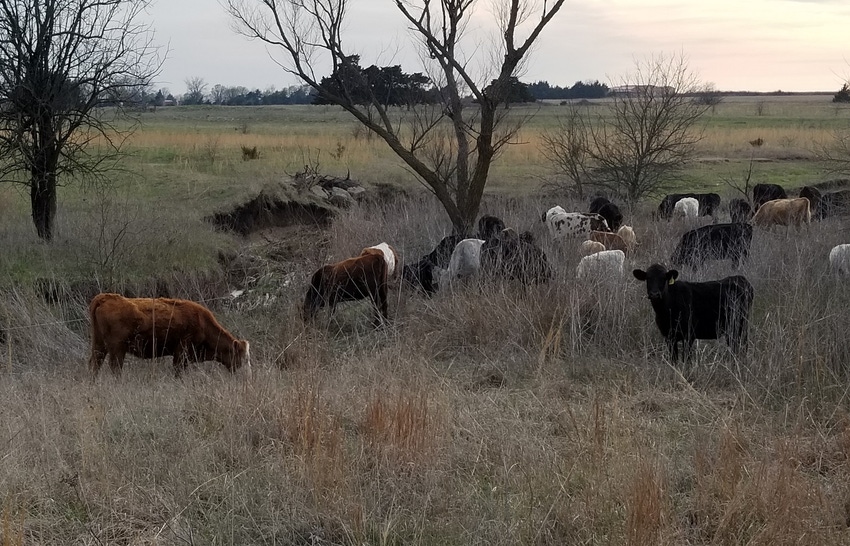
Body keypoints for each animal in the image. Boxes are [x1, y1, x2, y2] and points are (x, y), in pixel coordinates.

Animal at [88, 294, 250, 378]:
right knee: (115, 368)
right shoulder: (181, 353)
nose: (246, 374)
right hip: (117, 349)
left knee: (95, 364)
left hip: (99, 345)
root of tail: (105, 297)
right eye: (242, 357)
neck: (203, 324)